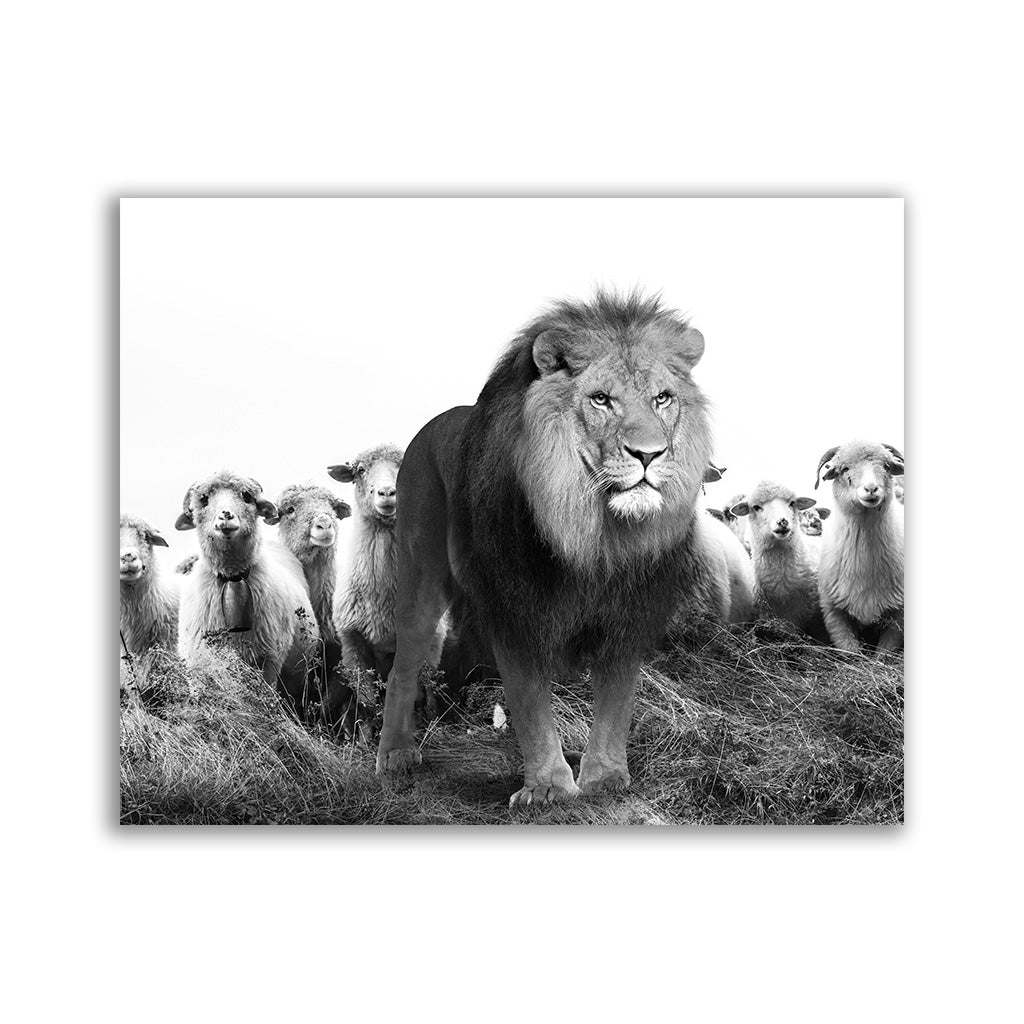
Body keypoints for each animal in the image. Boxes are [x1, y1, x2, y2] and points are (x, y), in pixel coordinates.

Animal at [376, 290, 732, 806]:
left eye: (662, 398)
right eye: (601, 399)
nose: (649, 454)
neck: (595, 535)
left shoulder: (629, 611)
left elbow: (617, 700)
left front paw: (604, 780)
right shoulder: (514, 606)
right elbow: (529, 701)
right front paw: (547, 788)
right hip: (419, 574)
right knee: (403, 664)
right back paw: (395, 754)